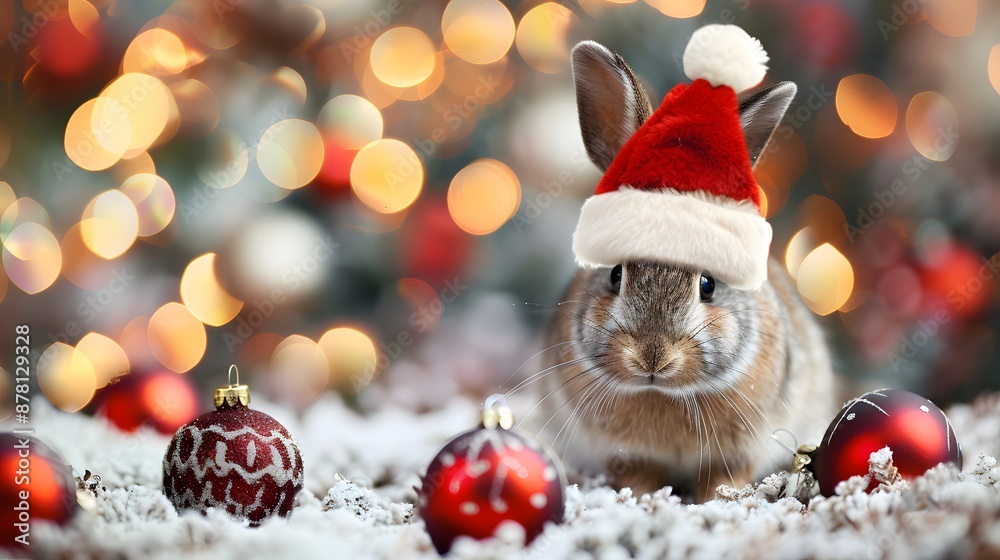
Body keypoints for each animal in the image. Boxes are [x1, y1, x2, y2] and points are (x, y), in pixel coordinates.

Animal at [524, 39, 836, 502]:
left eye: (707, 284)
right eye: (616, 275)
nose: (652, 357)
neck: (662, 393)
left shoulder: (739, 452)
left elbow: (724, 480)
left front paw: (719, 501)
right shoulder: (627, 455)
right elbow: (639, 478)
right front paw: (643, 500)